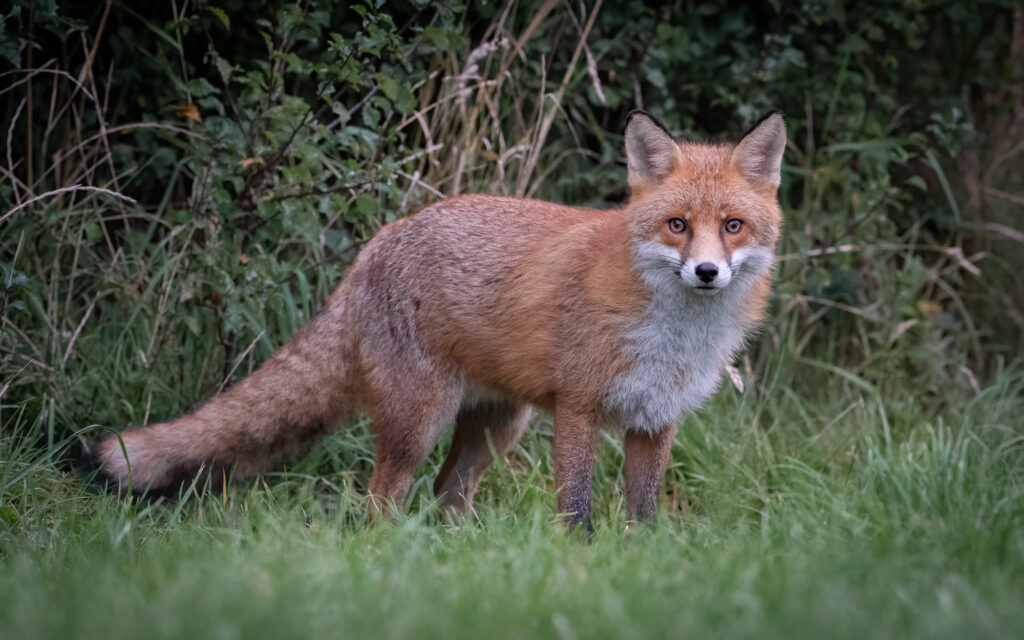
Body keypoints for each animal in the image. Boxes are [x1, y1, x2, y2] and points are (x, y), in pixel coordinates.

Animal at [82, 109, 786, 531]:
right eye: (677, 226)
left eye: (732, 226)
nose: (706, 272)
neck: (673, 336)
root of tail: (376, 245)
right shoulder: (579, 408)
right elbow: (578, 511)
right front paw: (582, 564)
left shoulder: (654, 420)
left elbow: (641, 518)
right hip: (419, 422)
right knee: (381, 498)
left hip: (496, 427)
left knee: (447, 495)